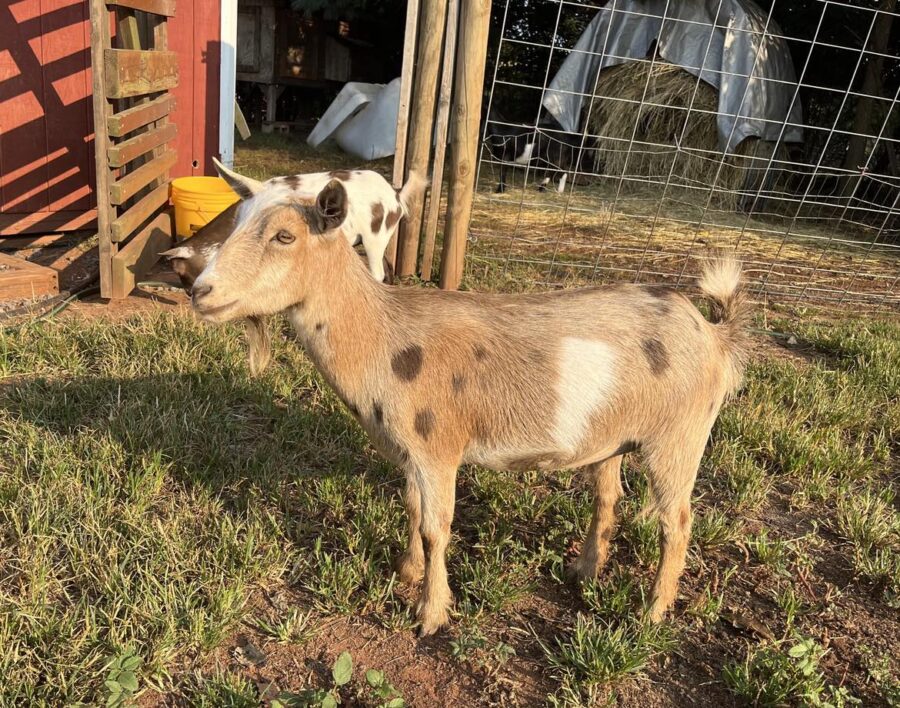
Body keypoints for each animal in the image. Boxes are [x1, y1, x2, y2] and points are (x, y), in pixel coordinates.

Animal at [192, 170, 752, 636]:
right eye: (238, 221)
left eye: (285, 236)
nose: (200, 290)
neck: (383, 337)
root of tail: (715, 334)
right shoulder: (412, 452)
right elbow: (412, 507)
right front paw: (407, 570)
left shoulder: (437, 446)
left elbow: (437, 528)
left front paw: (430, 614)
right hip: (613, 436)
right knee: (607, 496)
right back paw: (584, 570)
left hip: (679, 437)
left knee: (676, 523)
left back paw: (651, 614)